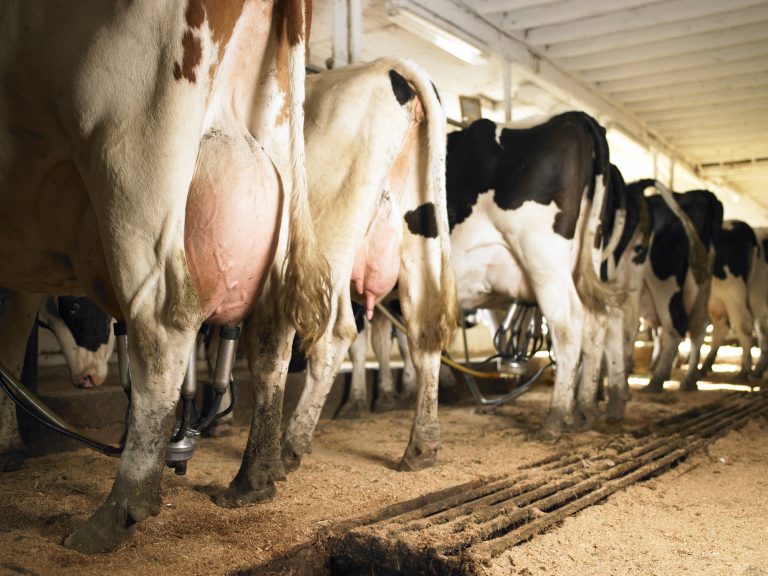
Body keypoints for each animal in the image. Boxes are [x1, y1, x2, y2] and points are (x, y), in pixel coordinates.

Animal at [0, 2, 328, 556]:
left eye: (74, 308)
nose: (88, 378)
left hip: (130, 164)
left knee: (162, 326)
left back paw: (117, 513)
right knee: (270, 339)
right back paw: (252, 482)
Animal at [632, 184, 724, 392]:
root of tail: (703, 194)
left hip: (664, 282)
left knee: (676, 326)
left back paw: (656, 380)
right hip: (701, 284)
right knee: (698, 328)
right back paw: (689, 379)